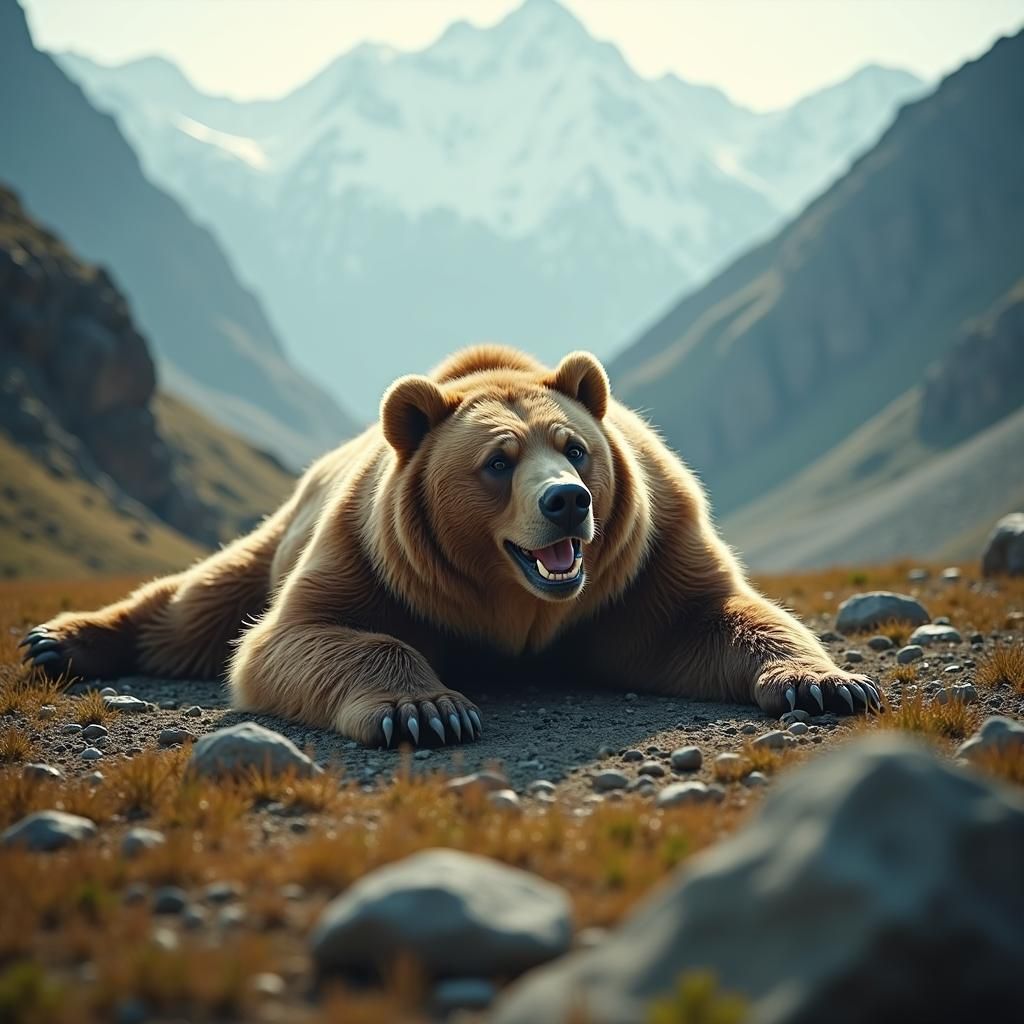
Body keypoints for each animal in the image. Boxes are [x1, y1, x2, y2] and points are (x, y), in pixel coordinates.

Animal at [22, 346, 880, 746]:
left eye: (575, 449)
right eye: (498, 461)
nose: (567, 504)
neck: (516, 605)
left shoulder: (642, 564)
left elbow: (716, 619)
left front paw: (829, 683)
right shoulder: (373, 558)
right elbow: (298, 636)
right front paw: (426, 710)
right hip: (288, 525)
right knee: (201, 602)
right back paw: (58, 640)